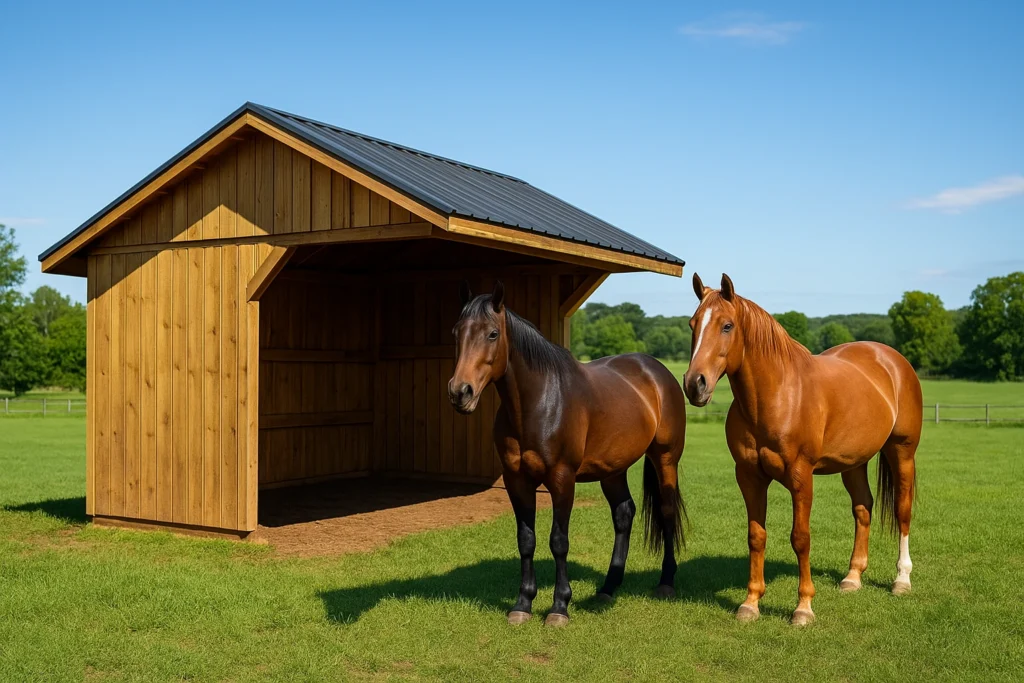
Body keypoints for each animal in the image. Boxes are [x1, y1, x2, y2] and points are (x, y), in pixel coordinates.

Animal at [448, 281, 688, 627]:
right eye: (457, 332)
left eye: (492, 334)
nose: (460, 392)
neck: (538, 404)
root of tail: (657, 371)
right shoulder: (516, 481)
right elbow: (526, 540)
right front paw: (523, 604)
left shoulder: (562, 480)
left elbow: (558, 542)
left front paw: (559, 607)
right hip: (612, 470)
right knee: (624, 514)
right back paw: (608, 587)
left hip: (665, 458)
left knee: (667, 511)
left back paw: (666, 582)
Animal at [683, 273, 922, 626]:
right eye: (693, 324)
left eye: (727, 325)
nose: (694, 384)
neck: (777, 396)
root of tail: (892, 360)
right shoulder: (749, 477)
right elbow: (756, 537)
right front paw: (750, 603)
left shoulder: (800, 477)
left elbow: (801, 538)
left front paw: (803, 608)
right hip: (854, 463)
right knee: (863, 508)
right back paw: (853, 577)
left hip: (902, 451)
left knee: (902, 511)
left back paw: (902, 580)